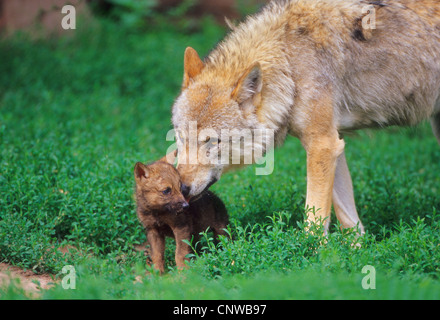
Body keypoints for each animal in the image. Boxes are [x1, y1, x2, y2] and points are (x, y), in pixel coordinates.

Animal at [170, 0, 440, 235]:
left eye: (212, 141)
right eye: (181, 137)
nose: (181, 188)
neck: (289, 60)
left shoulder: (322, 144)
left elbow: (314, 221)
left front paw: (313, 255)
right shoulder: (332, 144)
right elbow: (350, 222)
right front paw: (351, 255)